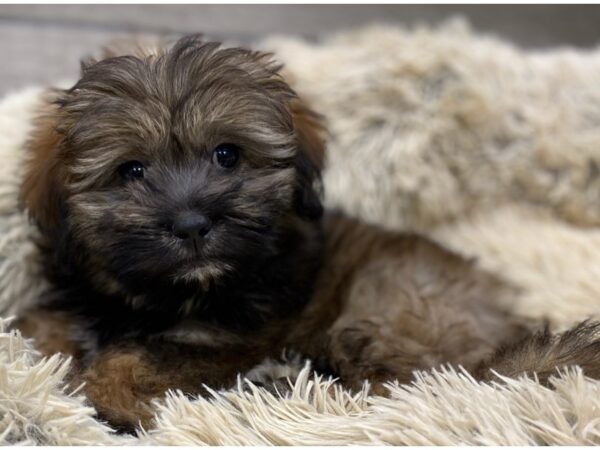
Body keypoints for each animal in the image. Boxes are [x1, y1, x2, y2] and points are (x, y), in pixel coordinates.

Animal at [14, 35, 600, 428]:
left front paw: (118, 398)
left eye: (227, 155)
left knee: (410, 387)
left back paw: (281, 384)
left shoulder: (227, 339)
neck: (158, 296)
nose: (192, 225)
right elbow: (39, 328)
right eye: (131, 171)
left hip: (388, 306)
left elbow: (126, 362)